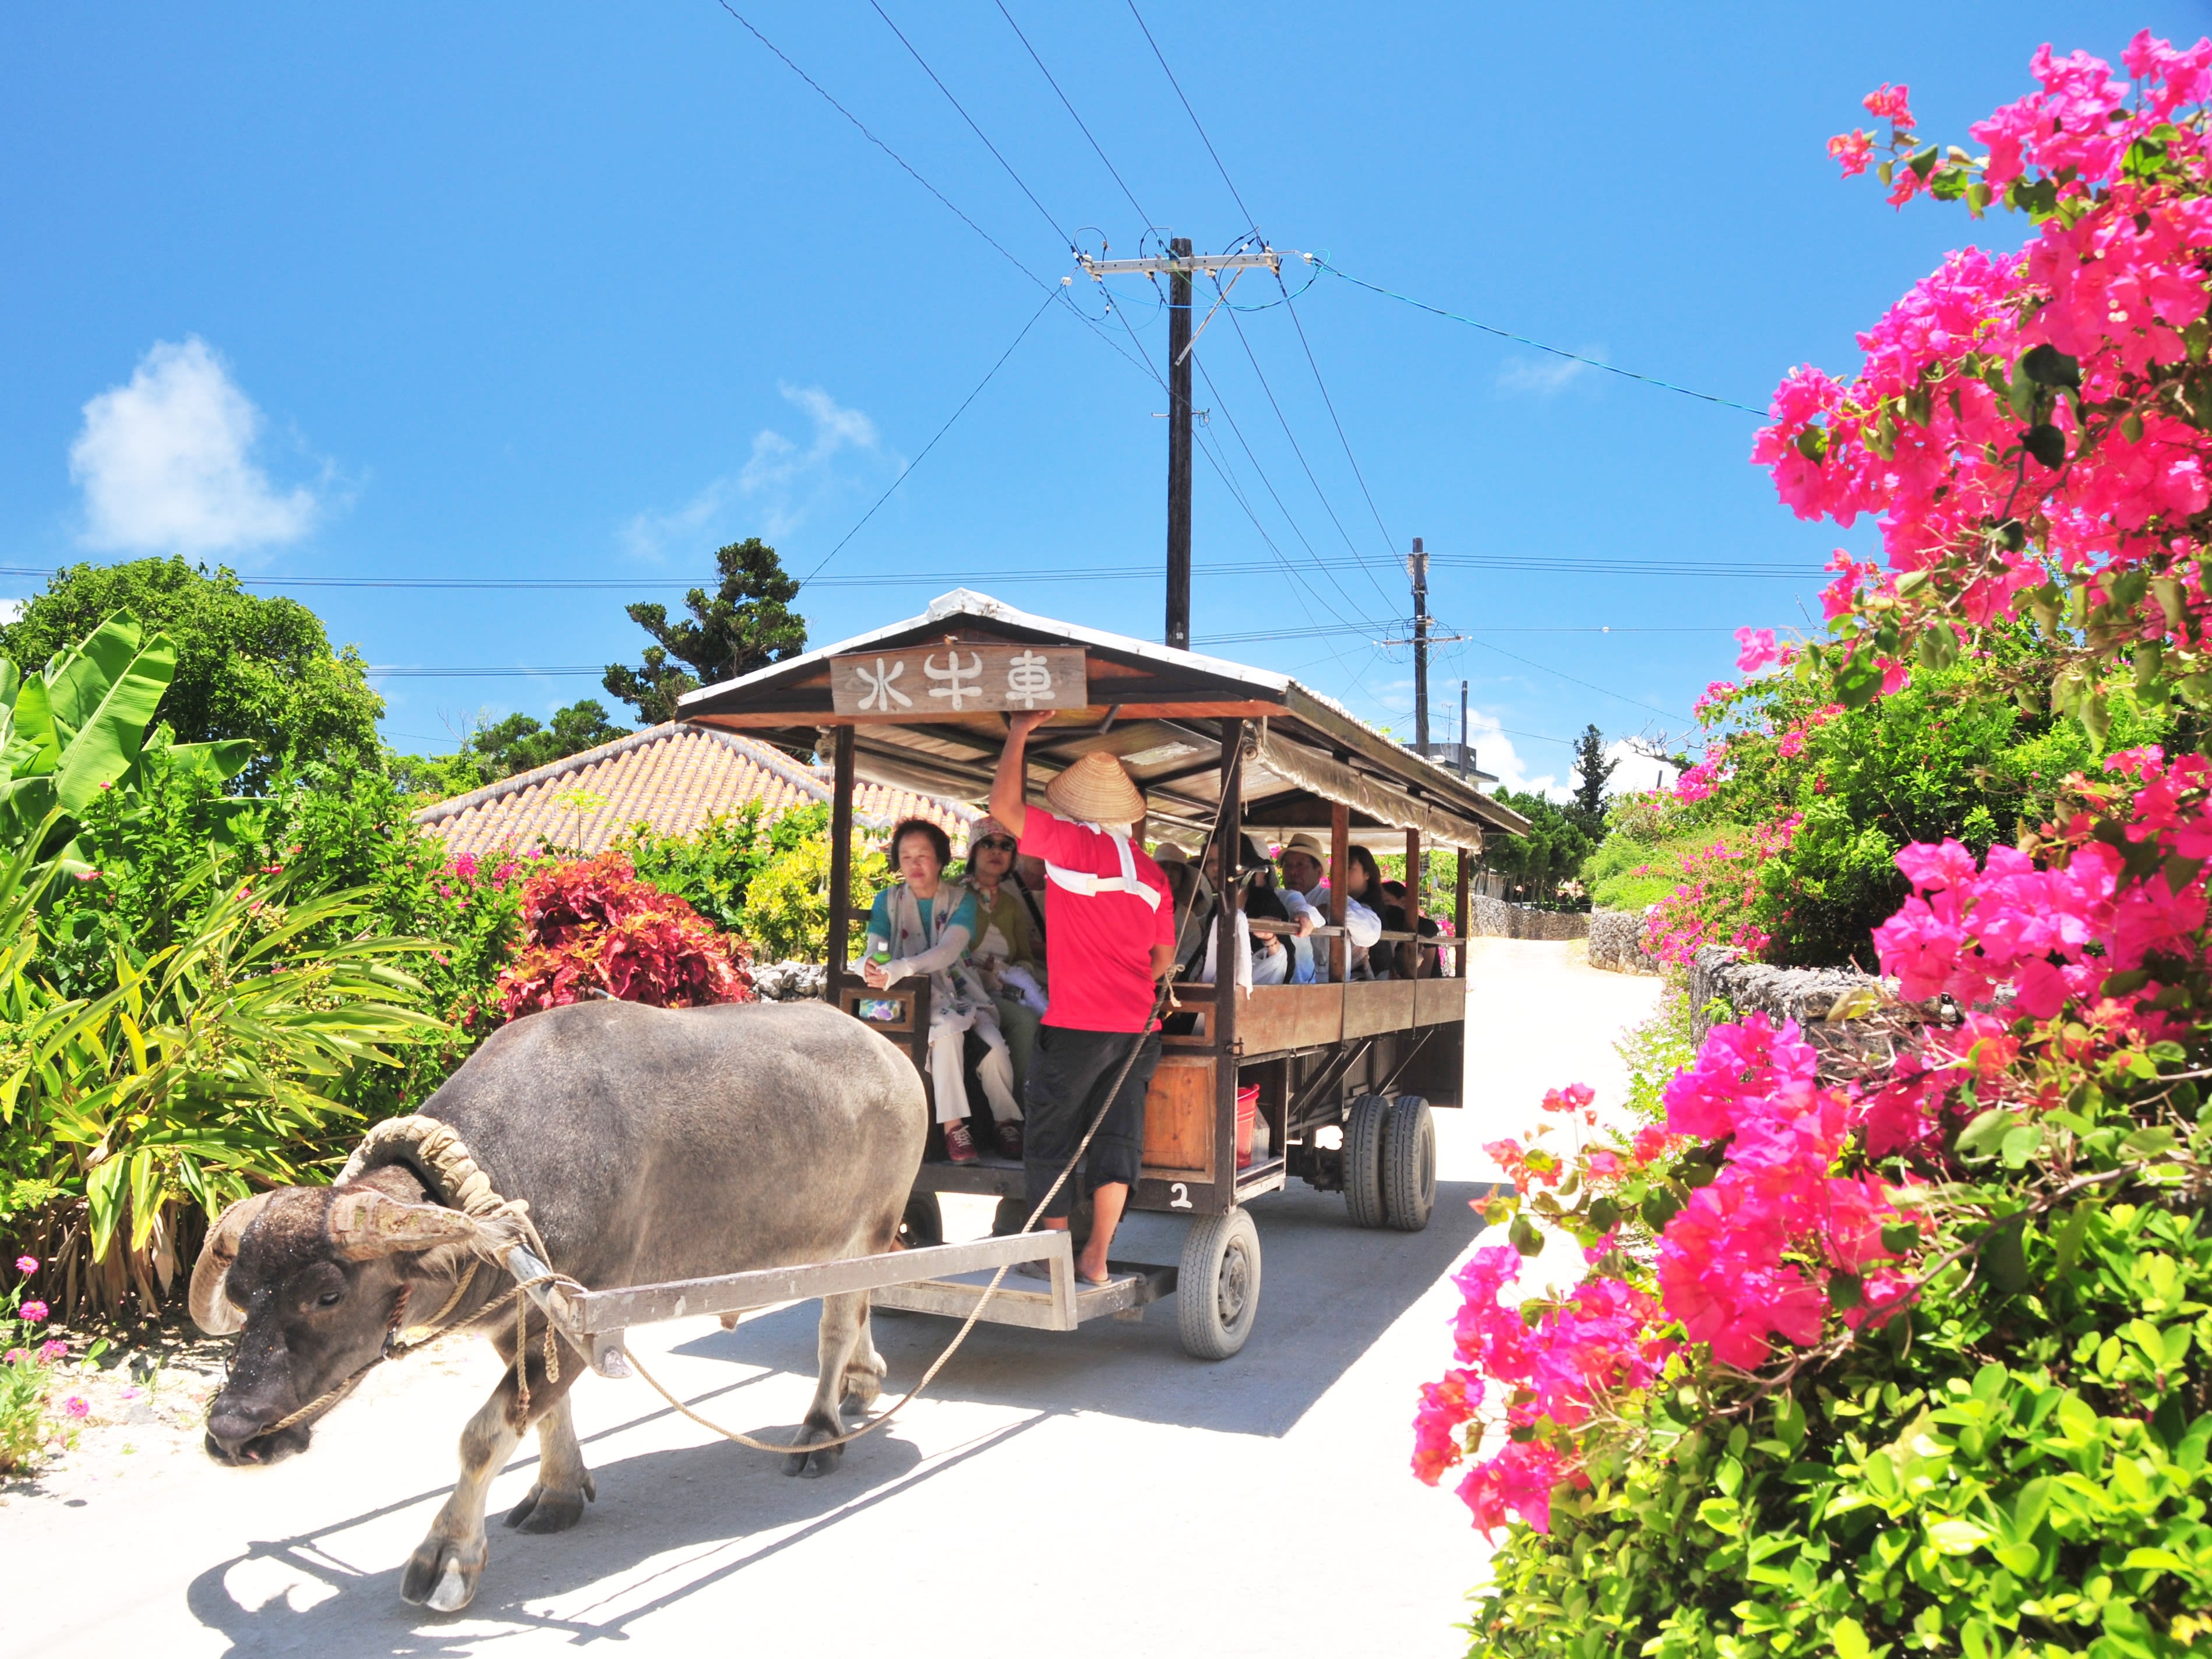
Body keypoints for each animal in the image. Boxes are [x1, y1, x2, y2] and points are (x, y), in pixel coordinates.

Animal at [181, 995, 925, 1619]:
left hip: (863, 1235)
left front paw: (447, 1555)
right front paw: (559, 1491)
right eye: (242, 1295)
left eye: (327, 1294)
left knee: (836, 1326)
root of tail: (895, 1062)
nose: (231, 1432)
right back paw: (863, 1383)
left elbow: (484, 1434)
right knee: (860, 1314)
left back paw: (820, 1431)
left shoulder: (581, 1320)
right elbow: (542, 1412)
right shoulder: (525, 1320)